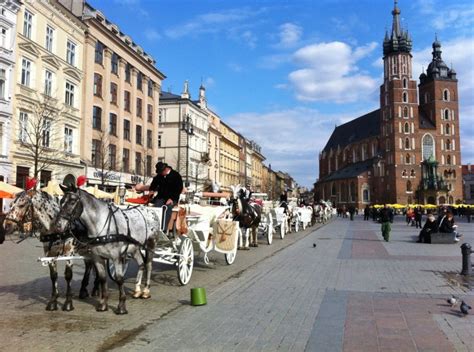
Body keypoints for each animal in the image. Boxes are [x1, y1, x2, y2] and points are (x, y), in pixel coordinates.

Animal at [54, 186, 161, 314]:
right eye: (61, 201)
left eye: (72, 201)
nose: (58, 225)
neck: (100, 224)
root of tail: (149, 210)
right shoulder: (97, 257)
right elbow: (102, 278)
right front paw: (103, 304)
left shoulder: (116, 257)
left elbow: (119, 279)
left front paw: (121, 306)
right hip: (135, 248)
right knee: (141, 264)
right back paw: (137, 290)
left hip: (151, 244)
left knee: (149, 265)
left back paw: (145, 291)